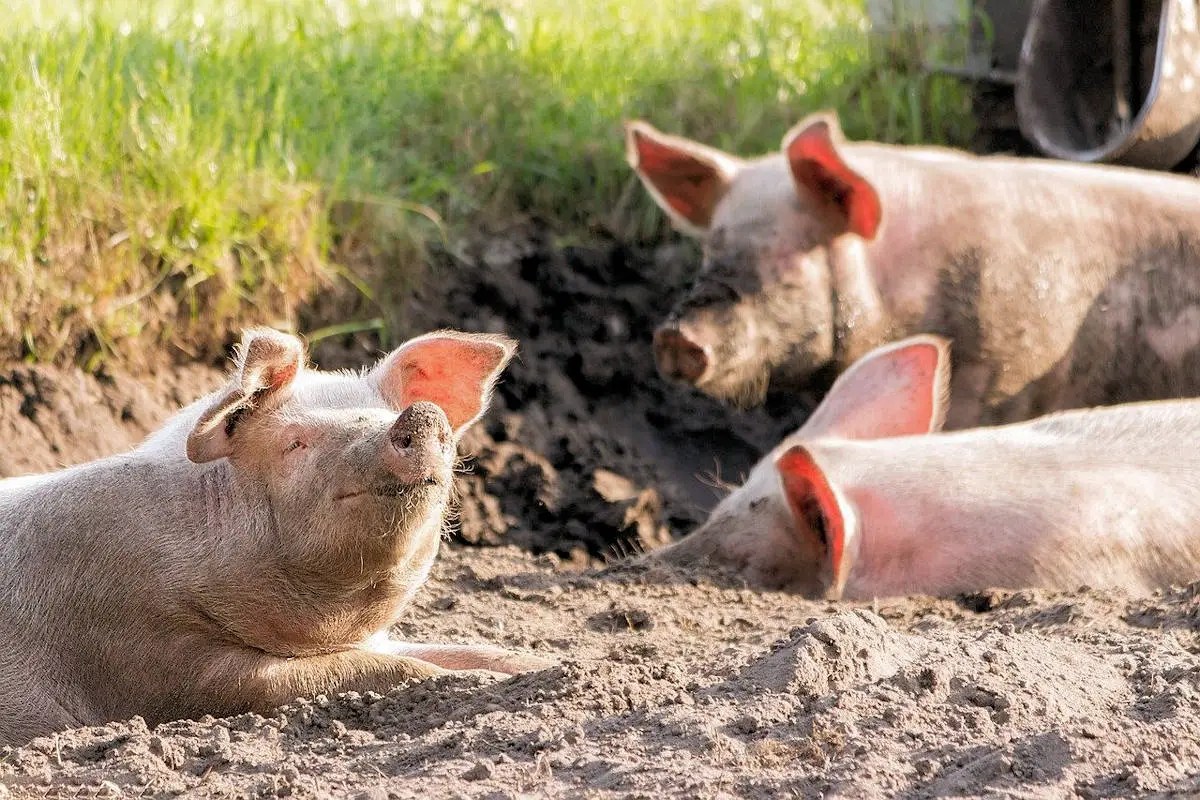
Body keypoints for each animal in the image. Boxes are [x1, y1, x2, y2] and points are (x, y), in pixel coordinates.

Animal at [0, 328, 550, 746]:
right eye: (296, 443)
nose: (421, 413)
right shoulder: (143, 652)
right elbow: (372, 671)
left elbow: (456, 651)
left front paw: (543, 665)